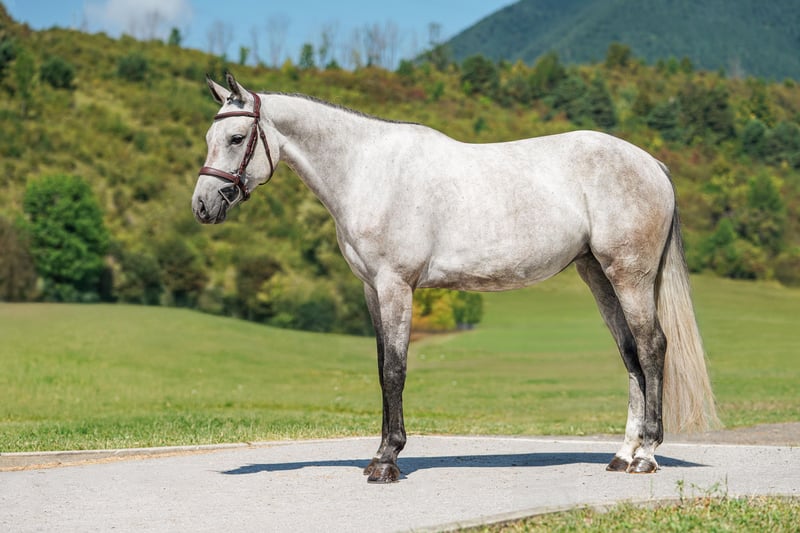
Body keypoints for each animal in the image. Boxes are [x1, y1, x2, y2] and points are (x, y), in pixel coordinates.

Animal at [192, 73, 719, 484]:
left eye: (236, 139)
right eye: (209, 139)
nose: (202, 205)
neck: (368, 170)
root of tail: (652, 164)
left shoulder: (396, 286)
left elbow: (395, 369)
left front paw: (387, 461)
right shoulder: (371, 289)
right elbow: (381, 369)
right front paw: (379, 455)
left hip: (629, 275)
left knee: (651, 348)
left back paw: (646, 455)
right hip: (599, 276)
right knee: (630, 354)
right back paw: (623, 454)